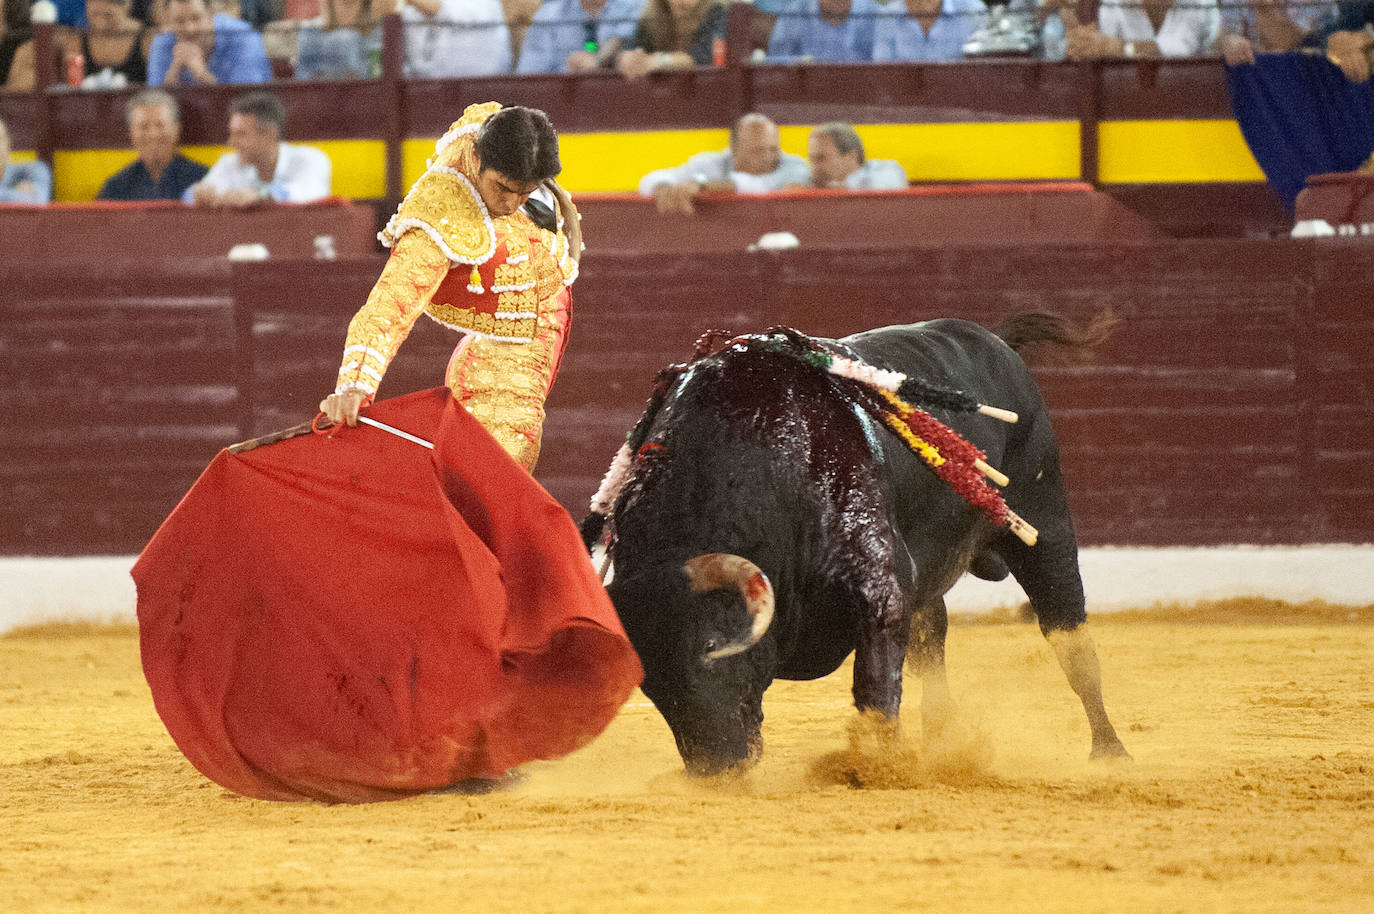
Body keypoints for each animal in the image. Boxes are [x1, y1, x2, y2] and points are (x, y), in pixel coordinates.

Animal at [585, 313, 1132, 769]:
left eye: (712, 646)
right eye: (648, 680)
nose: (714, 768)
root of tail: (998, 343)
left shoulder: (880, 588)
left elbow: (874, 688)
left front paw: (875, 767)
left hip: (1045, 521)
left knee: (1069, 636)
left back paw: (1109, 751)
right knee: (932, 643)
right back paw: (943, 739)